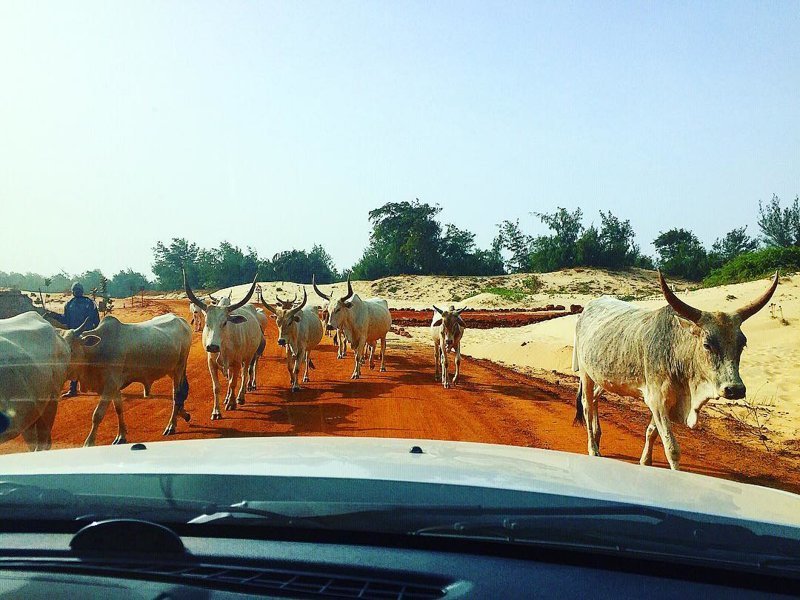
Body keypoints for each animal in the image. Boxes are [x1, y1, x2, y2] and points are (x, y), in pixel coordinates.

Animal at [74, 314, 194, 446]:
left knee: (177, 395)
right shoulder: (114, 387)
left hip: (179, 367)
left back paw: (171, 426)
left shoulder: (110, 385)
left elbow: (97, 415)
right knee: (181, 392)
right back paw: (184, 414)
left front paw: (89, 443)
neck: (98, 349)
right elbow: (119, 409)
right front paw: (121, 436)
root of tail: (181, 320)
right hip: (171, 370)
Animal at [184, 274, 262, 420]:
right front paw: (216, 411)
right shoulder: (211, 363)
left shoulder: (236, 362)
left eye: (225, 322)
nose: (212, 347)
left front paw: (232, 403)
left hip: (248, 356)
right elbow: (217, 387)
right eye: (207, 322)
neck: (224, 345)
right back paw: (227, 398)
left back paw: (240, 397)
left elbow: (233, 382)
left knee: (244, 374)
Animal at [572, 270, 780, 472]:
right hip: (585, 373)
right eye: (707, 344)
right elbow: (671, 447)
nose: (735, 389)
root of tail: (588, 307)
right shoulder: (657, 400)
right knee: (586, 405)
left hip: (603, 377)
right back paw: (593, 448)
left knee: (595, 398)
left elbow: (651, 432)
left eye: (742, 344)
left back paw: (597, 435)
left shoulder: (663, 403)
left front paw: (645, 462)